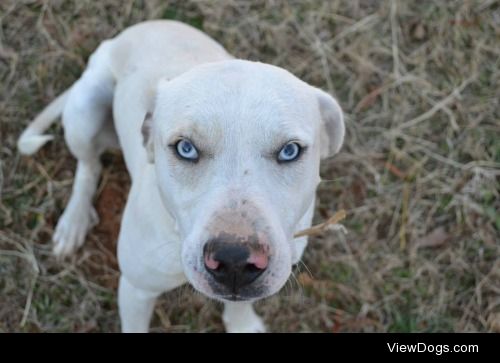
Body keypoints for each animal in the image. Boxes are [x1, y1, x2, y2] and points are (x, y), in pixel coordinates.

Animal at [16, 19, 344, 332]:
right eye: (186, 148)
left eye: (289, 151)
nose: (234, 261)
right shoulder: (136, 289)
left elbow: (239, 304)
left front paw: (241, 324)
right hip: (84, 109)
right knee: (88, 165)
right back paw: (74, 220)